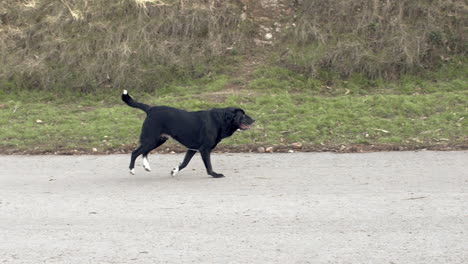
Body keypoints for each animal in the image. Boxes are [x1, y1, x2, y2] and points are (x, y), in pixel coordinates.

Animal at [120, 89, 252, 178]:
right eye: (242, 115)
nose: (254, 119)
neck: (219, 120)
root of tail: (151, 109)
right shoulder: (204, 149)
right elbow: (208, 166)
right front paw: (215, 174)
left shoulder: (192, 149)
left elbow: (184, 163)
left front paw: (174, 171)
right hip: (151, 139)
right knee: (135, 152)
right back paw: (132, 170)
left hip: (158, 140)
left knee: (144, 152)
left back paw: (146, 167)